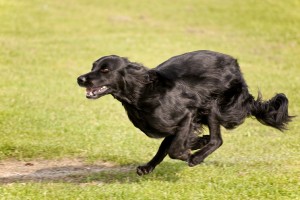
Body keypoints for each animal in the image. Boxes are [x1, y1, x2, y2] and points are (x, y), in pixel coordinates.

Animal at [77, 50, 292, 175]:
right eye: (93, 66)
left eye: (105, 70)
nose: (80, 79)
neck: (142, 92)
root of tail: (236, 66)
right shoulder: (175, 126)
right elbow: (166, 146)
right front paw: (148, 166)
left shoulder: (187, 115)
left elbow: (174, 149)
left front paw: (190, 153)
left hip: (213, 104)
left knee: (217, 139)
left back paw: (197, 157)